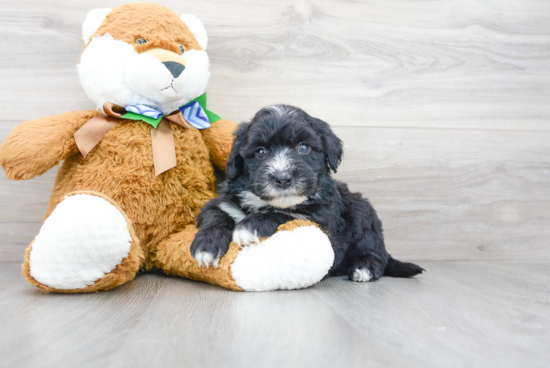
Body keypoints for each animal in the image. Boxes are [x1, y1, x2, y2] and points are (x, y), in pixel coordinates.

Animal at [192, 105, 424, 284]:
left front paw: (250, 226)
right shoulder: (224, 202)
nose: (283, 178)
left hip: (363, 212)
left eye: (303, 147)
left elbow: (287, 214)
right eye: (260, 152)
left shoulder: (320, 219)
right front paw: (207, 246)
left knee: (377, 254)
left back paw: (364, 267)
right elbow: (216, 213)